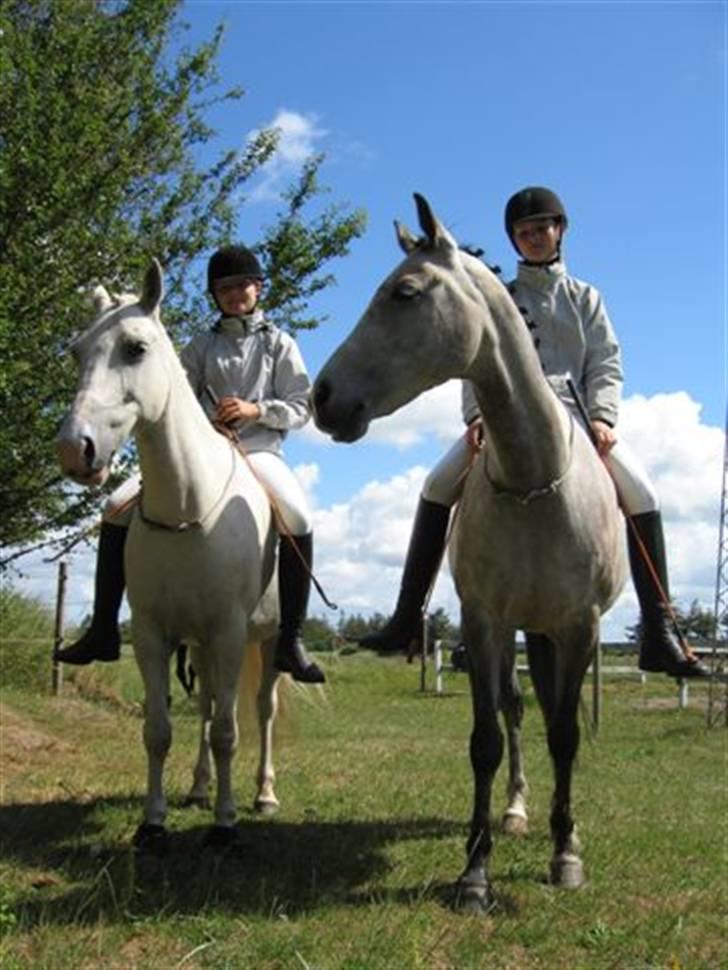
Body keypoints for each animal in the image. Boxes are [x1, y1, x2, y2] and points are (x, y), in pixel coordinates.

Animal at [312, 195, 624, 908]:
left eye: (403, 293)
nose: (323, 397)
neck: (535, 481)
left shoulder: (581, 627)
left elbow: (566, 735)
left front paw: (566, 855)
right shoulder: (484, 622)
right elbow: (485, 737)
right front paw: (476, 870)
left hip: (549, 629)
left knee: (548, 715)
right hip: (520, 628)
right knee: (515, 710)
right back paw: (514, 810)